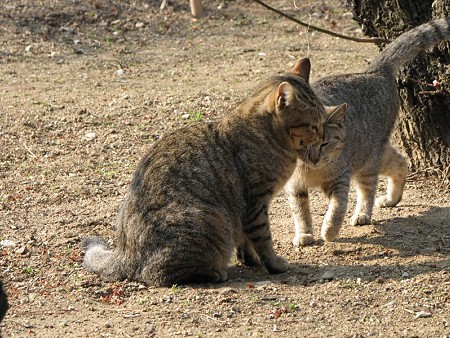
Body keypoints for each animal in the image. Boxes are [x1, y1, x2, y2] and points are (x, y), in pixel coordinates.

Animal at [82, 59, 346, 286]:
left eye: (323, 123)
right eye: (314, 125)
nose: (323, 135)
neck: (267, 134)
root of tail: (124, 253)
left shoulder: (246, 211)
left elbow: (246, 241)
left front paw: (250, 260)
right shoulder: (255, 202)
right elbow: (263, 239)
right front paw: (273, 264)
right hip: (210, 219)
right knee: (158, 275)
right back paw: (214, 272)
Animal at [286, 18, 450, 246]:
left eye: (325, 143)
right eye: (304, 143)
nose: (316, 159)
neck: (311, 171)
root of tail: (374, 71)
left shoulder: (340, 179)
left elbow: (337, 208)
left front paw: (330, 230)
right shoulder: (295, 187)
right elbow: (300, 212)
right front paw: (304, 233)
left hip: (367, 161)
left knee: (368, 189)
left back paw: (363, 214)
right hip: (373, 153)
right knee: (400, 161)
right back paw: (391, 199)